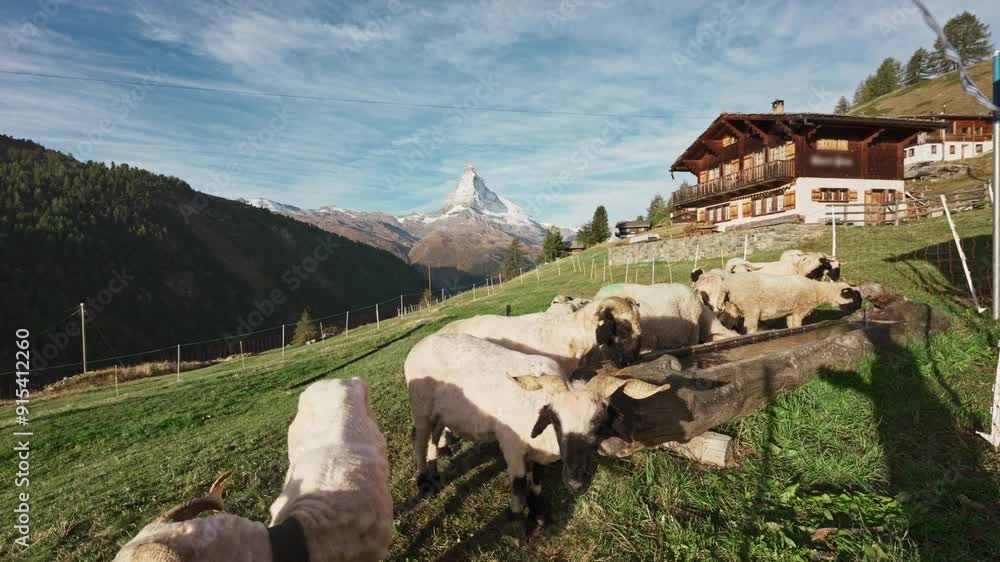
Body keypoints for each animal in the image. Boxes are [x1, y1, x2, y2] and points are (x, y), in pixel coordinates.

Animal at [402, 332, 668, 532]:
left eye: (599, 423)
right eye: (557, 422)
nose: (575, 483)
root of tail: (422, 343)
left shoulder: (537, 453)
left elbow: (537, 480)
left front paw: (538, 514)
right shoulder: (511, 447)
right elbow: (519, 485)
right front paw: (518, 523)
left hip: (441, 413)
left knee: (434, 437)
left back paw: (435, 475)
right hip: (421, 406)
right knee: (419, 440)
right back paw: (424, 483)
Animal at [716, 272, 864, 332]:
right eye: (855, 296)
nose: (860, 308)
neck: (817, 290)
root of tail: (726, 284)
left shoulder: (790, 312)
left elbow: (790, 326)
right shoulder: (799, 311)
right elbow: (797, 325)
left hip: (732, 307)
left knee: (726, 322)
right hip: (750, 308)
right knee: (750, 328)